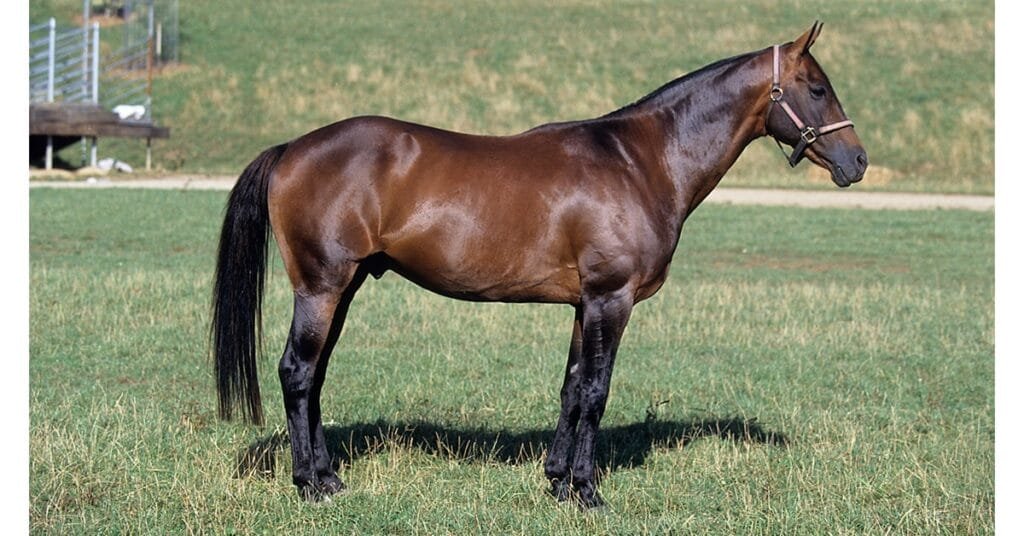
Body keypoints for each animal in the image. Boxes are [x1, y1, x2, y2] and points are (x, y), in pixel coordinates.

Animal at [212, 21, 867, 508]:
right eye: (816, 88)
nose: (857, 161)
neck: (639, 161)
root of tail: (292, 149)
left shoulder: (585, 304)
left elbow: (573, 386)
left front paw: (557, 479)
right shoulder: (611, 299)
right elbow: (597, 390)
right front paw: (586, 491)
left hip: (342, 288)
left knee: (315, 377)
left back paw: (328, 476)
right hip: (322, 287)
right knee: (297, 372)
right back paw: (309, 485)